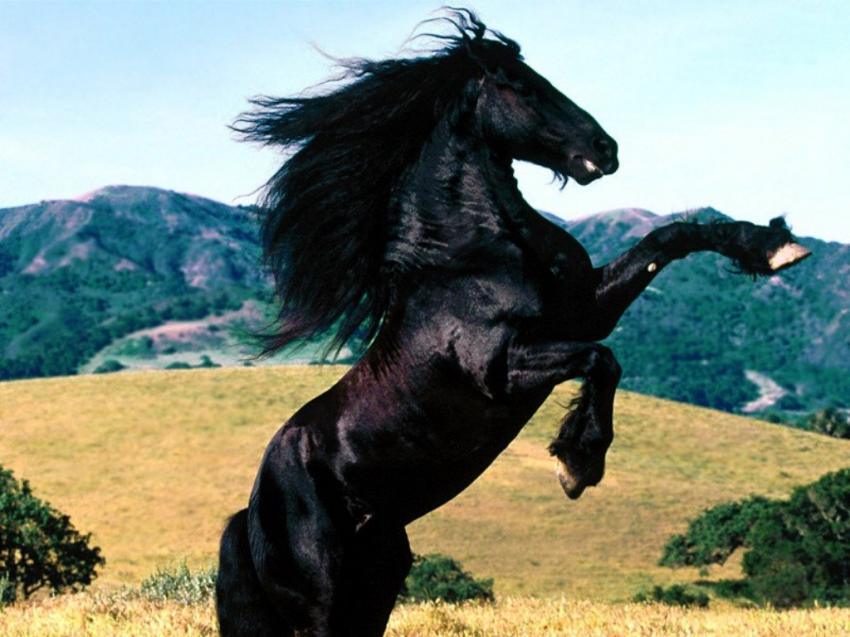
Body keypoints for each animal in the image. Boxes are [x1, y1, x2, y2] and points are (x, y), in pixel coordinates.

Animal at [216, 10, 810, 636]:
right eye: (521, 86)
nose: (605, 148)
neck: (471, 254)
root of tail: (251, 510)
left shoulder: (587, 308)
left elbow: (668, 239)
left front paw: (773, 247)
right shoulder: (502, 368)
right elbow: (601, 358)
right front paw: (577, 463)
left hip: (376, 582)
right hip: (322, 598)